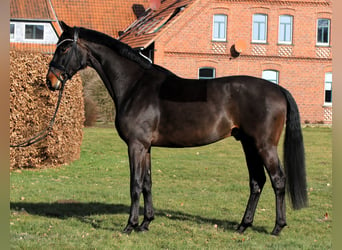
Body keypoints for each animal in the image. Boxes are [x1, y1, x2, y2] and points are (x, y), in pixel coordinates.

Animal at [46, 22, 308, 236]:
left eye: (64, 49)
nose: (50, 80)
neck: (135, 86)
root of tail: (278, 89)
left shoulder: (136, 145)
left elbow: (135, 184)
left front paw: (130, 225)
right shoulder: (146, 147)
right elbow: (147, 183)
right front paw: (146, 223)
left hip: (264, 145)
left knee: (278, 180)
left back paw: (277, 227)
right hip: (248, 144)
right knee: (257, 181)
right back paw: (243, 225)